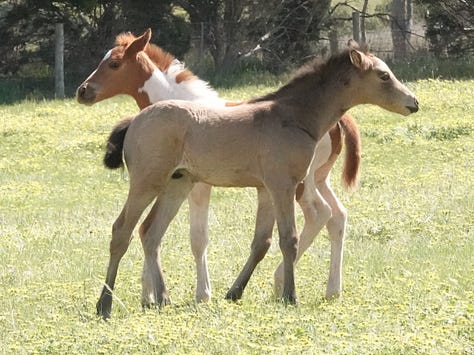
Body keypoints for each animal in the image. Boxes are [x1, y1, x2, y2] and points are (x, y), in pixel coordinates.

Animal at [90, 41, 416, 318]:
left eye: (114, 64)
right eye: (383, 75)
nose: (413, 102)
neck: (293, 116)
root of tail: (135, 121)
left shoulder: (266, 189)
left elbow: (262, 241)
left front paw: (235, 292)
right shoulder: (283, 185)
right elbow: (288, 239)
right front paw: (290, 296)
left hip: (177, 184)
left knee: (151, 232)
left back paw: (163, 299)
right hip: (148, 182)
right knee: (122, 230)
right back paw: (105, 304)